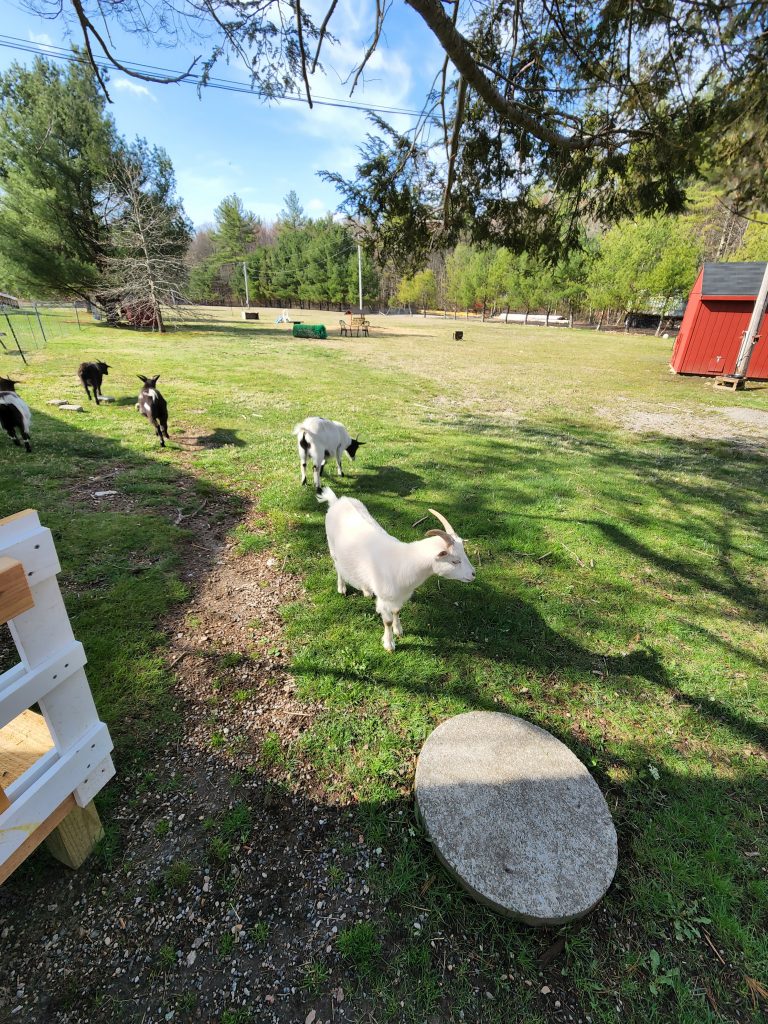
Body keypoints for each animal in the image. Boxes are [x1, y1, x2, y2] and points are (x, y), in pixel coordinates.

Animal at [313, 485, 473, 647]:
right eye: (454, 561)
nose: (473, 574)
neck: (403, 562)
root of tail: (337, 501)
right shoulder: (385, 599)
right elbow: (387, 621)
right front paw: (389, 644)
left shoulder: (399, 597)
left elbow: (397, 611)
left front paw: (399, 631)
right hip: (333, 548)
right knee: (338, 568)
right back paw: (342, 588)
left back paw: (366, 590)